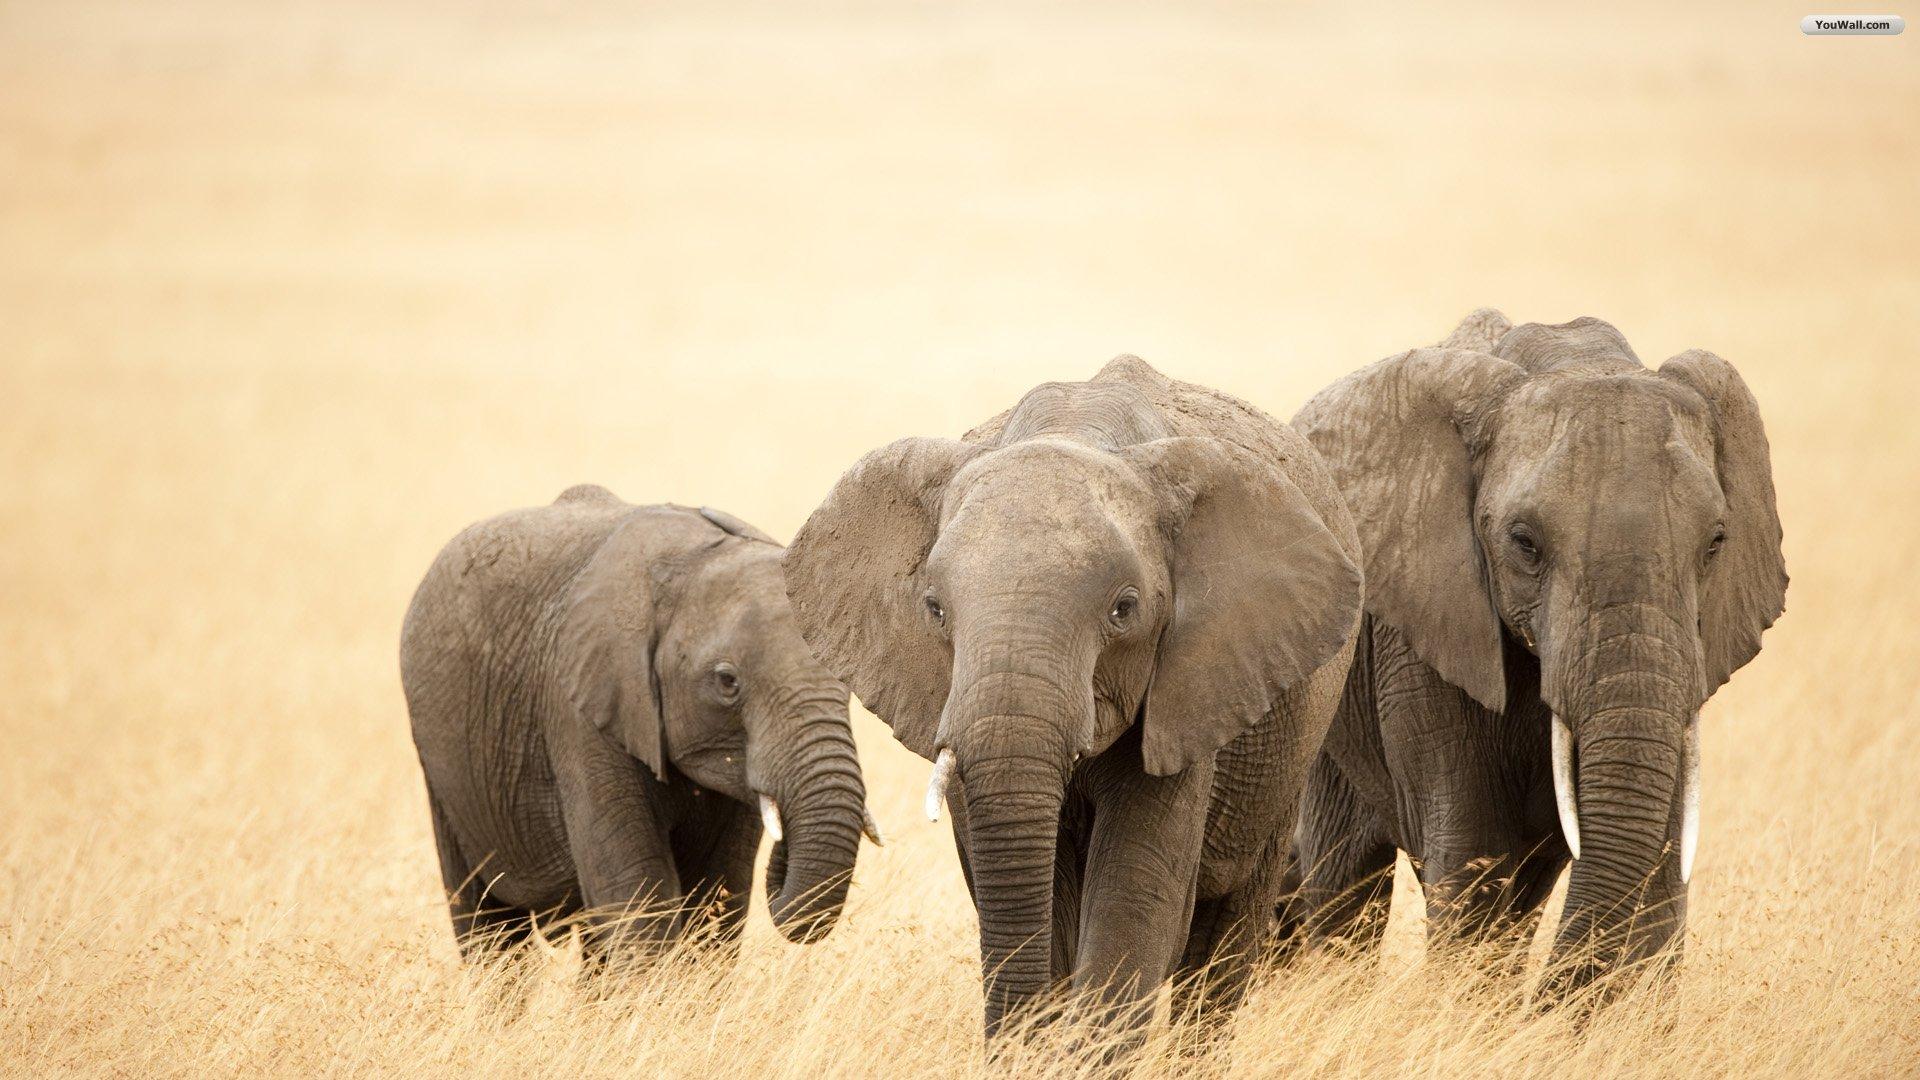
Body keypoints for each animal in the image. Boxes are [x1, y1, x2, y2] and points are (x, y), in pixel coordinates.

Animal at [400, 487, 878, 963]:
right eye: (727, 682)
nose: (783, 864)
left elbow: (717, 896)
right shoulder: (581, 708)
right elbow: (637, 896)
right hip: (443, 770)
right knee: (489, 926)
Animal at [1281, 310, 1786, 997]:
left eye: (1716, 542)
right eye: (1523, 543)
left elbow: (1657, 856)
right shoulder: (1423, 638)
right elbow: (1474, 852)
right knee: (1344, 879)